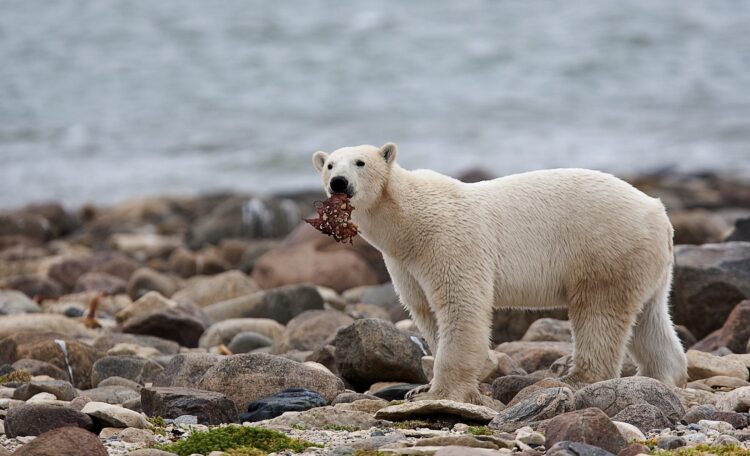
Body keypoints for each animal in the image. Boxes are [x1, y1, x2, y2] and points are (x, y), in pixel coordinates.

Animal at [310, 143, 688, 406]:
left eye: (360, 162)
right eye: (329, 164)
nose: (339, 183)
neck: (408, 221)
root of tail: (659, 212)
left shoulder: (448, 241)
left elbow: (460, 306)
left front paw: (439, 392)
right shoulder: (404, 263)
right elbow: (426, 311)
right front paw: (421, 388)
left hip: (605, 247)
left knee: (599, 313)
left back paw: (577, 378)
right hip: (645, 262)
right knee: (650, 319)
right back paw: (663, 377)